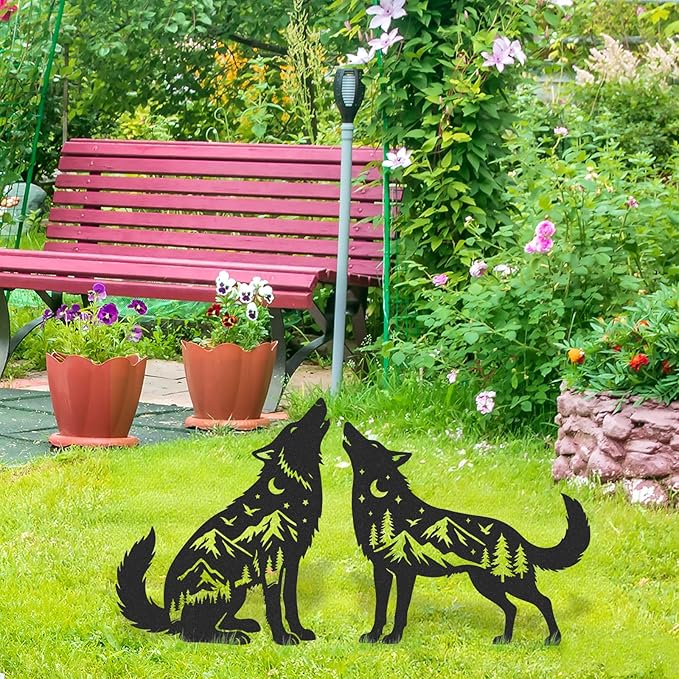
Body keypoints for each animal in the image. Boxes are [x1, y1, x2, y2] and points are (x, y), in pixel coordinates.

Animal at [116, 398, 329, 645]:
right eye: (294, 428)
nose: (321, 401)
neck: (290, 488)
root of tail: (169, 616)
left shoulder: (291, 563)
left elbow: (291, 603)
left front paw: (299, 632)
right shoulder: (272, 565)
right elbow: (275, 607)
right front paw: (282, 638)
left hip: (238, 590)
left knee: (216, 622)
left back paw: (242, 626)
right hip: (218, 585)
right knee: (193, 634)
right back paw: (233, 637)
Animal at [343, 422, 590, 645]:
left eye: (372, 445)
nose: (346, 425)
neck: (383, 508)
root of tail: (520, 539)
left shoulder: (406, 573)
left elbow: (399, 612)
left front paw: (393, 639)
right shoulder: (382, 572)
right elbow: (380, 612)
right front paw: (373, 636)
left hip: (512, 584)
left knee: (544, 601)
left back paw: (553, 639)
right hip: (487, 585)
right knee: (512, 608)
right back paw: (505, 640)